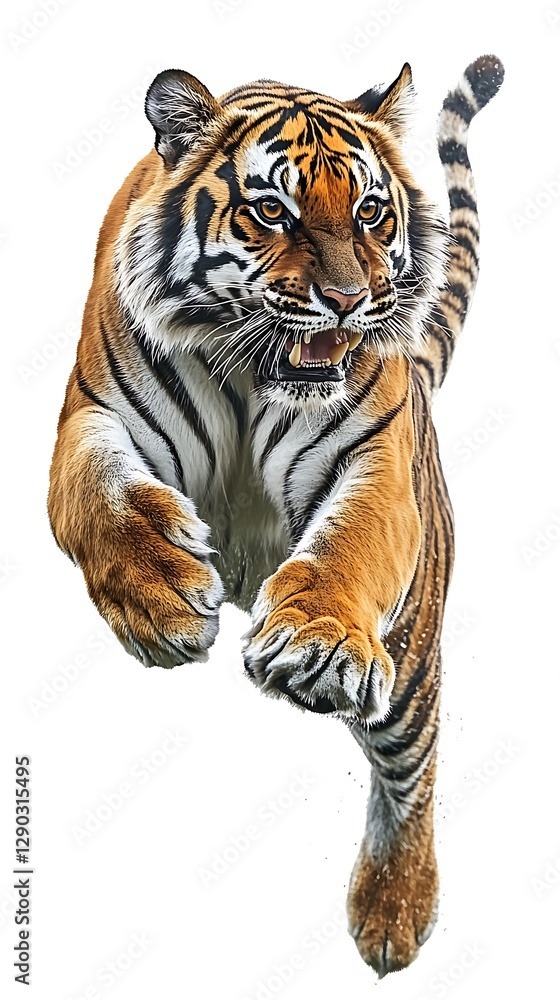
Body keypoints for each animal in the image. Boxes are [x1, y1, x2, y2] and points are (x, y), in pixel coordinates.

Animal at [48, 55, 504, 976]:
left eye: (369, 211)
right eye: (272, 212)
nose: (349, 300)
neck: (252, 370)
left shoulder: (375, 456)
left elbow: (349, 547)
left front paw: (319, 645)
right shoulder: (90, 414)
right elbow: (98, 498)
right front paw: (161, 602)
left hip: (411, 660)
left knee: (416, 770)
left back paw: (395, 912)